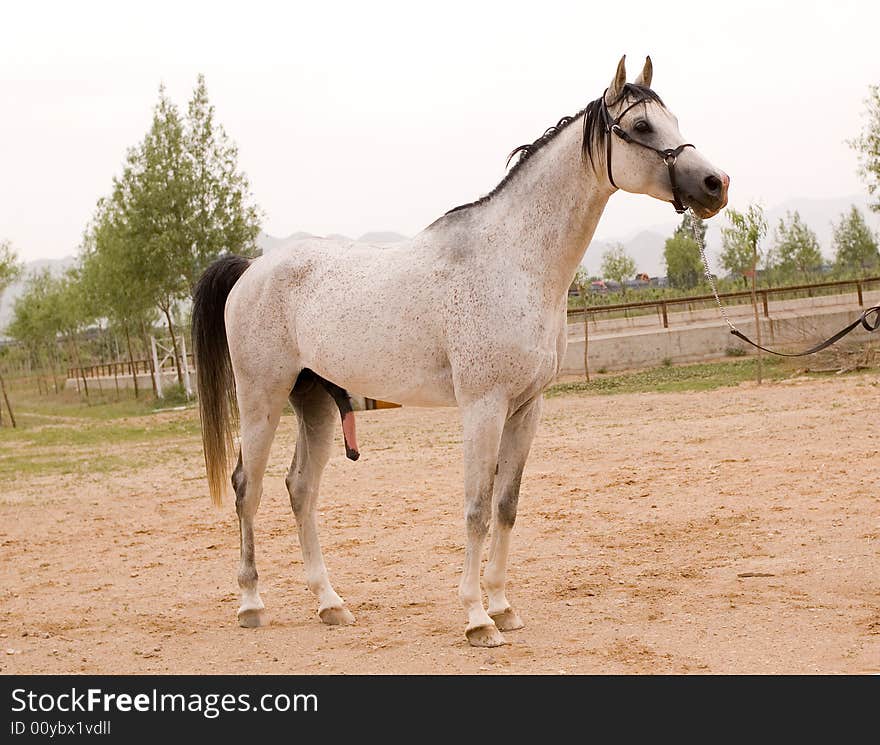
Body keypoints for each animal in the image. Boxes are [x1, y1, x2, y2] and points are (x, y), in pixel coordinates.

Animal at [191, 55, 728, 644]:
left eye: (672, 120)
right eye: (641, 127)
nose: (716, 184)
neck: (512, 261)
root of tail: (252, 269)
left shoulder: (526, 408)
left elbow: (506, 505)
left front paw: (503, 606)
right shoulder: (482, 407)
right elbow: (475, 508)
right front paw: (476, 618)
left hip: (313, 404)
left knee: (300, 489)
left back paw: (330, 603)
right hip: (261, 399)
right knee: (248, 487)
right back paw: (251, 603)